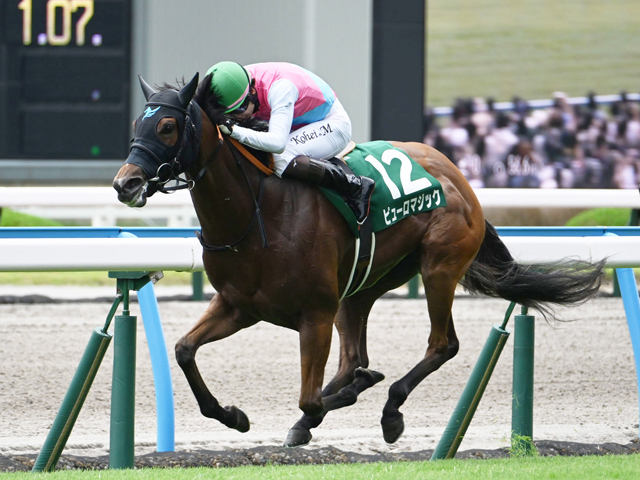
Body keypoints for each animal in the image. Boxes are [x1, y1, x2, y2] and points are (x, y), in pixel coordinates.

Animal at [112, 73, 604, 448]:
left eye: (168, 126)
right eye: (137, 121)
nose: (125, 183)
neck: (259, 211)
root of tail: (457, 174)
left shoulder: (314, 313)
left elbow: (310, 398)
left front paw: (348, 397)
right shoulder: (239, 305)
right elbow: (184, 350)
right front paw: (233, 415)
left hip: (438, 266)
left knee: (441, 345)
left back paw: (390, 409)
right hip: (363, 285)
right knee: (353, 356)